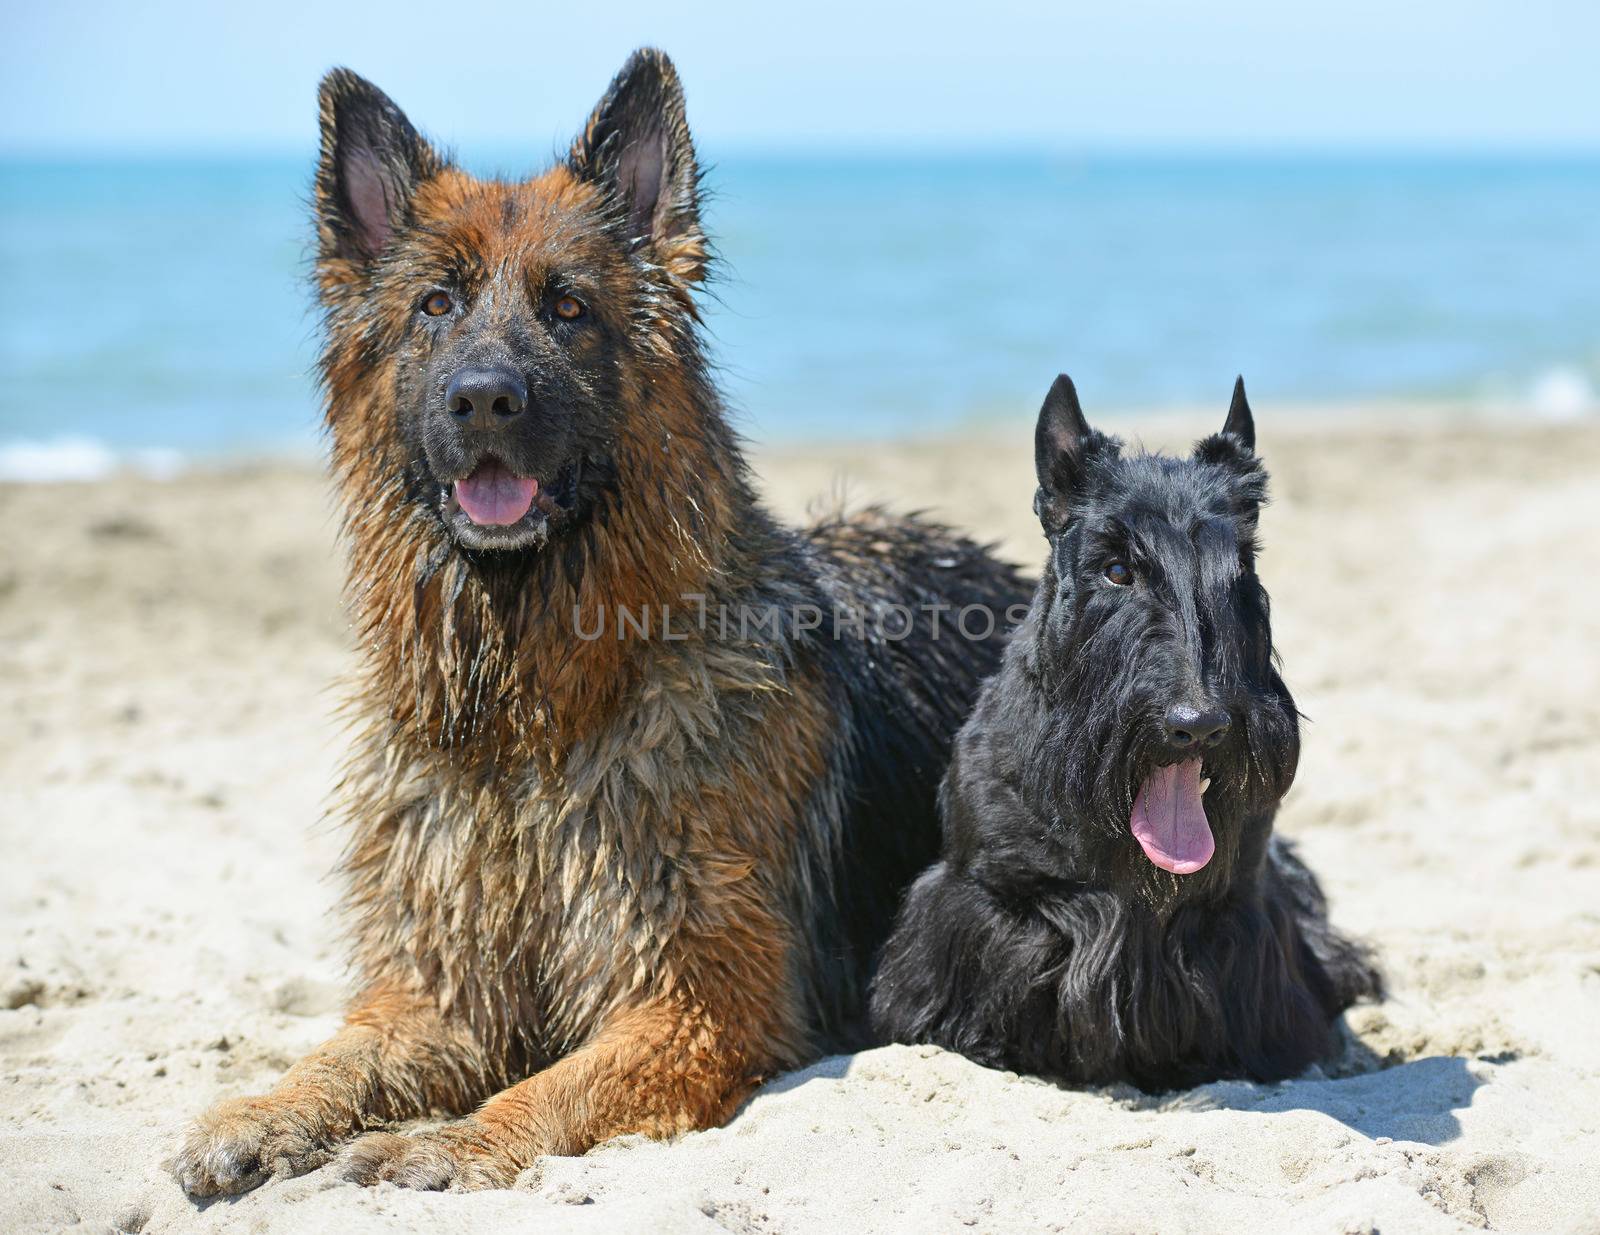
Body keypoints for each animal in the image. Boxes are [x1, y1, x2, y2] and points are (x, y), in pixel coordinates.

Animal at [175, 50, 1024, 1196]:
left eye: (568, 307)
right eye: (435, 305)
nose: (484, 399)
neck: (527, 721)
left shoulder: (694, 1003)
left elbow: (546, 1089)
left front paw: (450, 1140)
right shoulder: (439, 991)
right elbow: (339, 1053)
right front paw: (262, 1111)